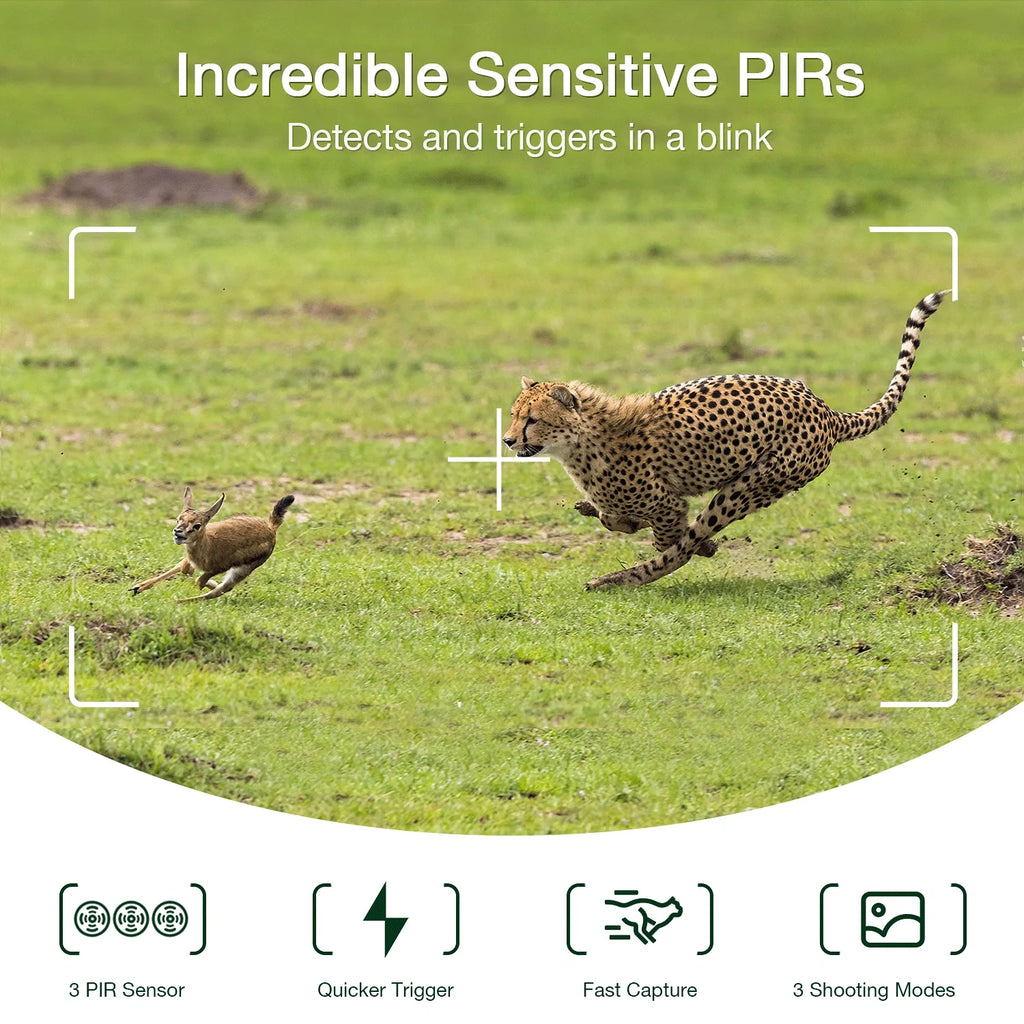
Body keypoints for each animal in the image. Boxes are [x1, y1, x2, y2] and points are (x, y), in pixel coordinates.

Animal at [130, 486, 294, 601]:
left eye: (197, 525)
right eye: (178, 519)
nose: (178, 532)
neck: (207, 545)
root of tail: (271, 528)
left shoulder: (218, 567)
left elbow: (199, 581)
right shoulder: (190, 561)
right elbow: (183, 569)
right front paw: (138, 587)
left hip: (241, 571)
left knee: (217, 592)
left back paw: (177, 601)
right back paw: (138, 589)